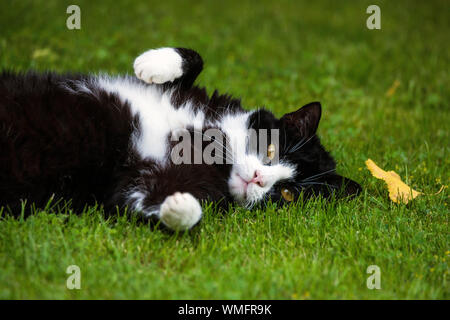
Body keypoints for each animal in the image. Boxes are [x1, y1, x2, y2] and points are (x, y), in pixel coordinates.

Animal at [0, 47, 360, 230]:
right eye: (270, 150)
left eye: (286, 194)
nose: (259, 178)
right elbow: (194, 58)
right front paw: (151, 64)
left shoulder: (130, 182)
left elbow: (136, 200)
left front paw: (179, 205)